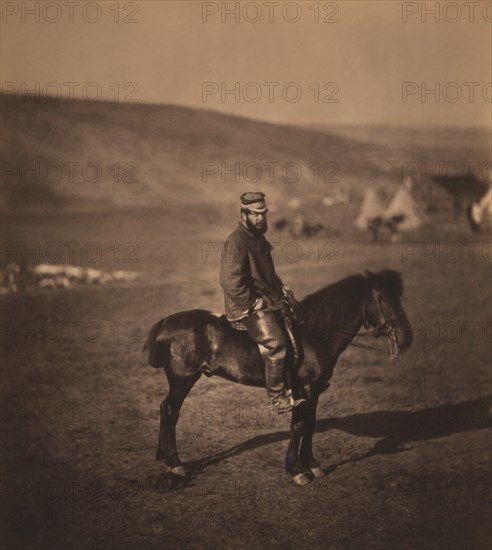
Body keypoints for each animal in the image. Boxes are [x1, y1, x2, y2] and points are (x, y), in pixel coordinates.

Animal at [145, 270, 412, 486]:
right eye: (384, 299)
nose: (407, 337)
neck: (314, 334)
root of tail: (166, 321)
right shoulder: (304, 389)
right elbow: (299, 426)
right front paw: (297, 470)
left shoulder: (314, 391)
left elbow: (310, 424)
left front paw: (312, 464)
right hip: (182, 381)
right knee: (170, 411)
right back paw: (175, 463)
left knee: (165, 410)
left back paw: (164, 457)